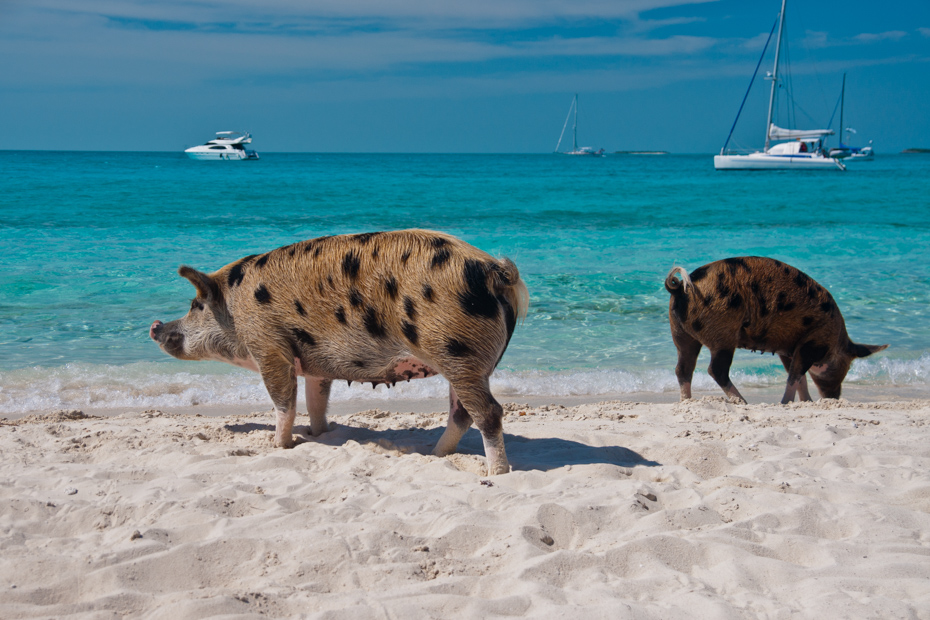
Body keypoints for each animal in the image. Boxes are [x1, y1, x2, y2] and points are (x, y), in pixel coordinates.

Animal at [150, 230, 528, 475]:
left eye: (196, 306)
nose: (155, 325)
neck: (236, 306)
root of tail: (497, 272)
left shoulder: (269, 345)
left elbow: (284, 401)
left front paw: (278, 445)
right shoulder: (314, 362)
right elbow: (316, 399)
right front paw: (317, 434)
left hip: (458, 352)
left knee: (489, 413)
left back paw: (496, 474)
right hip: (462, 361)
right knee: (461, 414)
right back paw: (434, 454)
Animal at [664, 257, 887, 404]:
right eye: (846, 368)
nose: (834, 398)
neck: (835, 340)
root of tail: (681, 287)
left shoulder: (789, 348)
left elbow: (798, 376)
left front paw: (806, 402)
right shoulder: (811, 342)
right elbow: (795, 375)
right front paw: (786, 403)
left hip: (681, 335)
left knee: (683, 369)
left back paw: (687, 402)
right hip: (722, 334)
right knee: (715, 369)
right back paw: (743, 402)